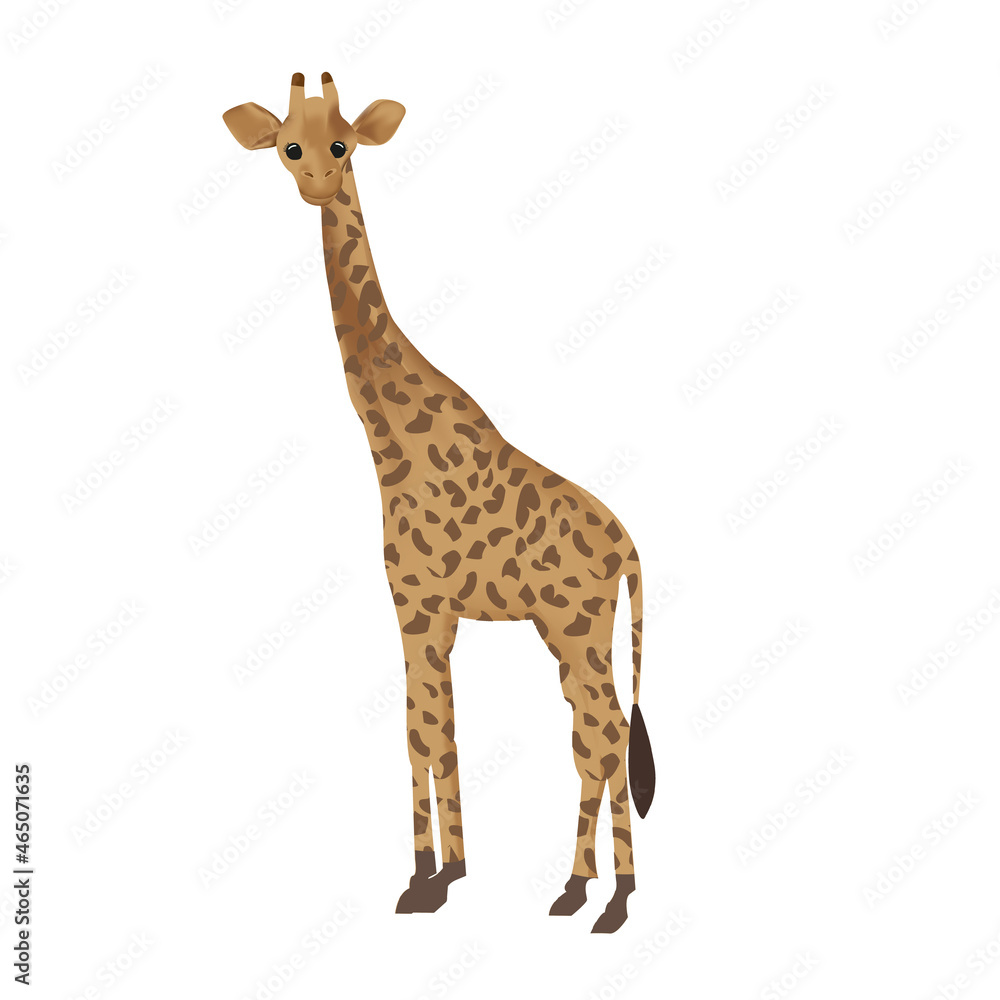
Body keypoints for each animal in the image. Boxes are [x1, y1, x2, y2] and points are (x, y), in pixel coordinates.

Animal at [223, 72, 656, 933]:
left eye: (342, 143)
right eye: (287, 145)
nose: (316, 185)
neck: (388, 440)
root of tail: (627, 545)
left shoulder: (422, 602)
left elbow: (430, 730)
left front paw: (433, 878)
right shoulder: (419, 608)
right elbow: (428, 733)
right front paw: (438, 872)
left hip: (576, 624)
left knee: (604, 731)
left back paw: (607, 898)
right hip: (573, 633)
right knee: (595, 733)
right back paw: (587, 889)